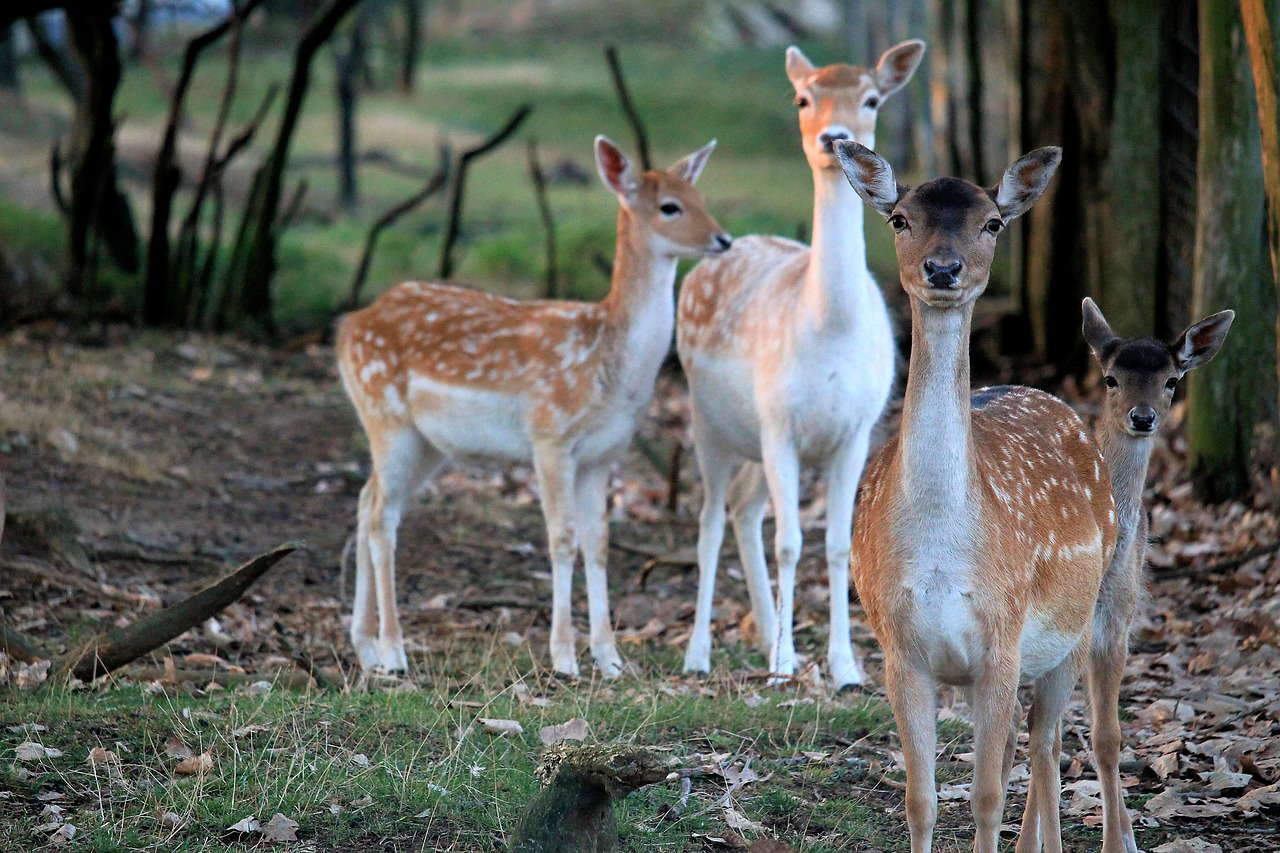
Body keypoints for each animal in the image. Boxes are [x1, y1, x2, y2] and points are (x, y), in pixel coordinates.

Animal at [335, 134, 737, 676]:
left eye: (702, 197)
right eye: (670, 206)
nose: (723, 239)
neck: (606, 367)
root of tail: (347, 328)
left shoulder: (603, 454)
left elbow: (599, 543)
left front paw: (610, 659)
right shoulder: (550, 434)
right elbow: (561, 538)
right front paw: (564, 656)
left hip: (427, 444)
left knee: (366, 500)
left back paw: (365, 645)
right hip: (385, 415)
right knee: (380, 516)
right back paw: (395, 651)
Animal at [675, 41, 926, 691]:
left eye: (872, 98)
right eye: (802, 99)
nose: (833, 136)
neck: (828, 330)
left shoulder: (856, 431)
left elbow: (835, 545)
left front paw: (845, 667)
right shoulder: (779, 424)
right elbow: (791, 542)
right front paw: (786, 665)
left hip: (751, 443)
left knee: (744, 510)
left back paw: (765, 632)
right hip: (710, 424)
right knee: (710, 520)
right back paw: (701, 652)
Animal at [834, 137, 1116, 850]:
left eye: (991, 223)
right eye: (899, 218)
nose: (942, 268)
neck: (942, 548)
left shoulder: (1001, 639)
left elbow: (987, 796)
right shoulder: (901, 650)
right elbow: (921, 800)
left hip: (1072, 630)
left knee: (1047, 746)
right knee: (1030, 744)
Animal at [1075, 295, 1233, 845]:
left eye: (1170, 381)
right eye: (1110, 379)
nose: (1141, 417)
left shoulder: (1116, 620)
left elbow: (1107, 734)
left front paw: (1120, 841)